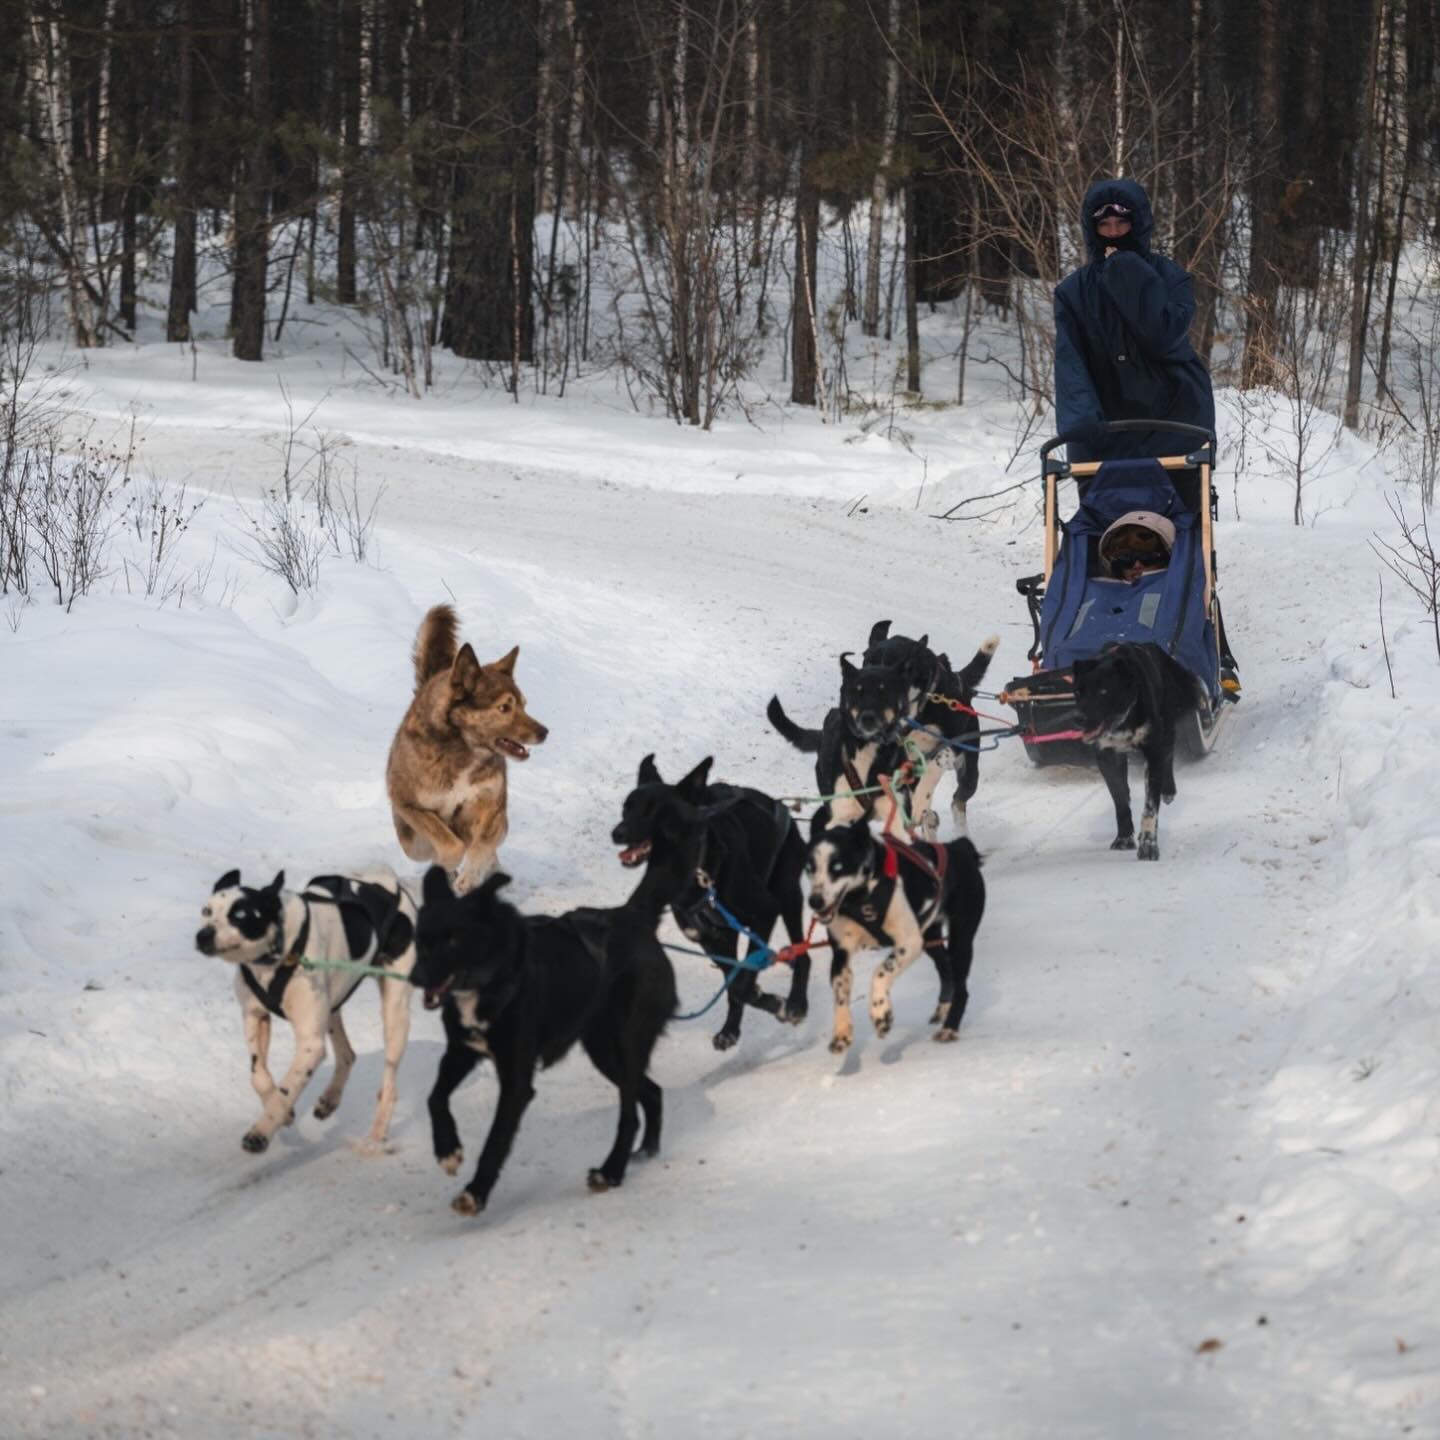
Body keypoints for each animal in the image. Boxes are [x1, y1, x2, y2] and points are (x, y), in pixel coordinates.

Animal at [194, 858, 417, 1152]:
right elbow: (258, 1074)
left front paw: (261, 1131)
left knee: (389, 1087)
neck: (278, 953)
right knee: (347, 1054)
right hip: (332, 1006)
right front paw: (282, 1111)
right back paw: (330, 1098)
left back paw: (376, 1136)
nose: (202, 935)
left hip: (394, 1014)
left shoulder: (310, 1045)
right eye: (206, 910)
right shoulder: (255, 1015)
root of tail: (392, 883)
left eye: (240, 915)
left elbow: (288, 1087)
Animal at [406, 864, 673, 1215]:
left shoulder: (516, 1082)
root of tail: (633, 916)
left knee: (629, 1116)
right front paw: (447, 1150)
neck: (494, 980)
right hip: (604, 1051)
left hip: (627, 1044)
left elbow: (495, 1140)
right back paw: (647, 1150)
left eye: (451, 940)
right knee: (653, 1092)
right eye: (419, 940)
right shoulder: (460, 1052)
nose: (415, 978)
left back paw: (611, 1171)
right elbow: (434, 1098)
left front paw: (475, 1193)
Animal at [610, 760, 812, 1054]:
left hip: (786, 893)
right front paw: (740, 1020)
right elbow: (735, 984)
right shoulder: (710, 940)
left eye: (653, 810)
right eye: (626, 808)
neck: (700, 871)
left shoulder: (765, 911)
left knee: (803, 952)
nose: (618, 832)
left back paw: (797, 1002)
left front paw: (777, 1002)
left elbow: (742, 982)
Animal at [806, 817, 984, 1054]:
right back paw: (944, 1008)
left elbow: (880, 973)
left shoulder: (908, 942)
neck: (861, 898)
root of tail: (959, 846)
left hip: (960, 940)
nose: (814, 901)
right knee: (946, 969)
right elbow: (840, 993)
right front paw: (842, 1032)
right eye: (809, 867)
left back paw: (950, 1027)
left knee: (961, 986)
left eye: (837, 866)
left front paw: (881, 1014)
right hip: (929, 939)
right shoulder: (841, 953)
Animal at [1077, 648, 1198, 858]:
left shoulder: (1153, 750)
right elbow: (1120, 801)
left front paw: (1149, 843)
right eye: (1079, 691)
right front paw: (1124, 837)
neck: (1122, 722)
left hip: (1167, 730)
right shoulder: (1108, 756)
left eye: (1103, 691)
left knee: (1168, 756)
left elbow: (1150, 807)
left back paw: (1168, 789)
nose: (1078, 718)